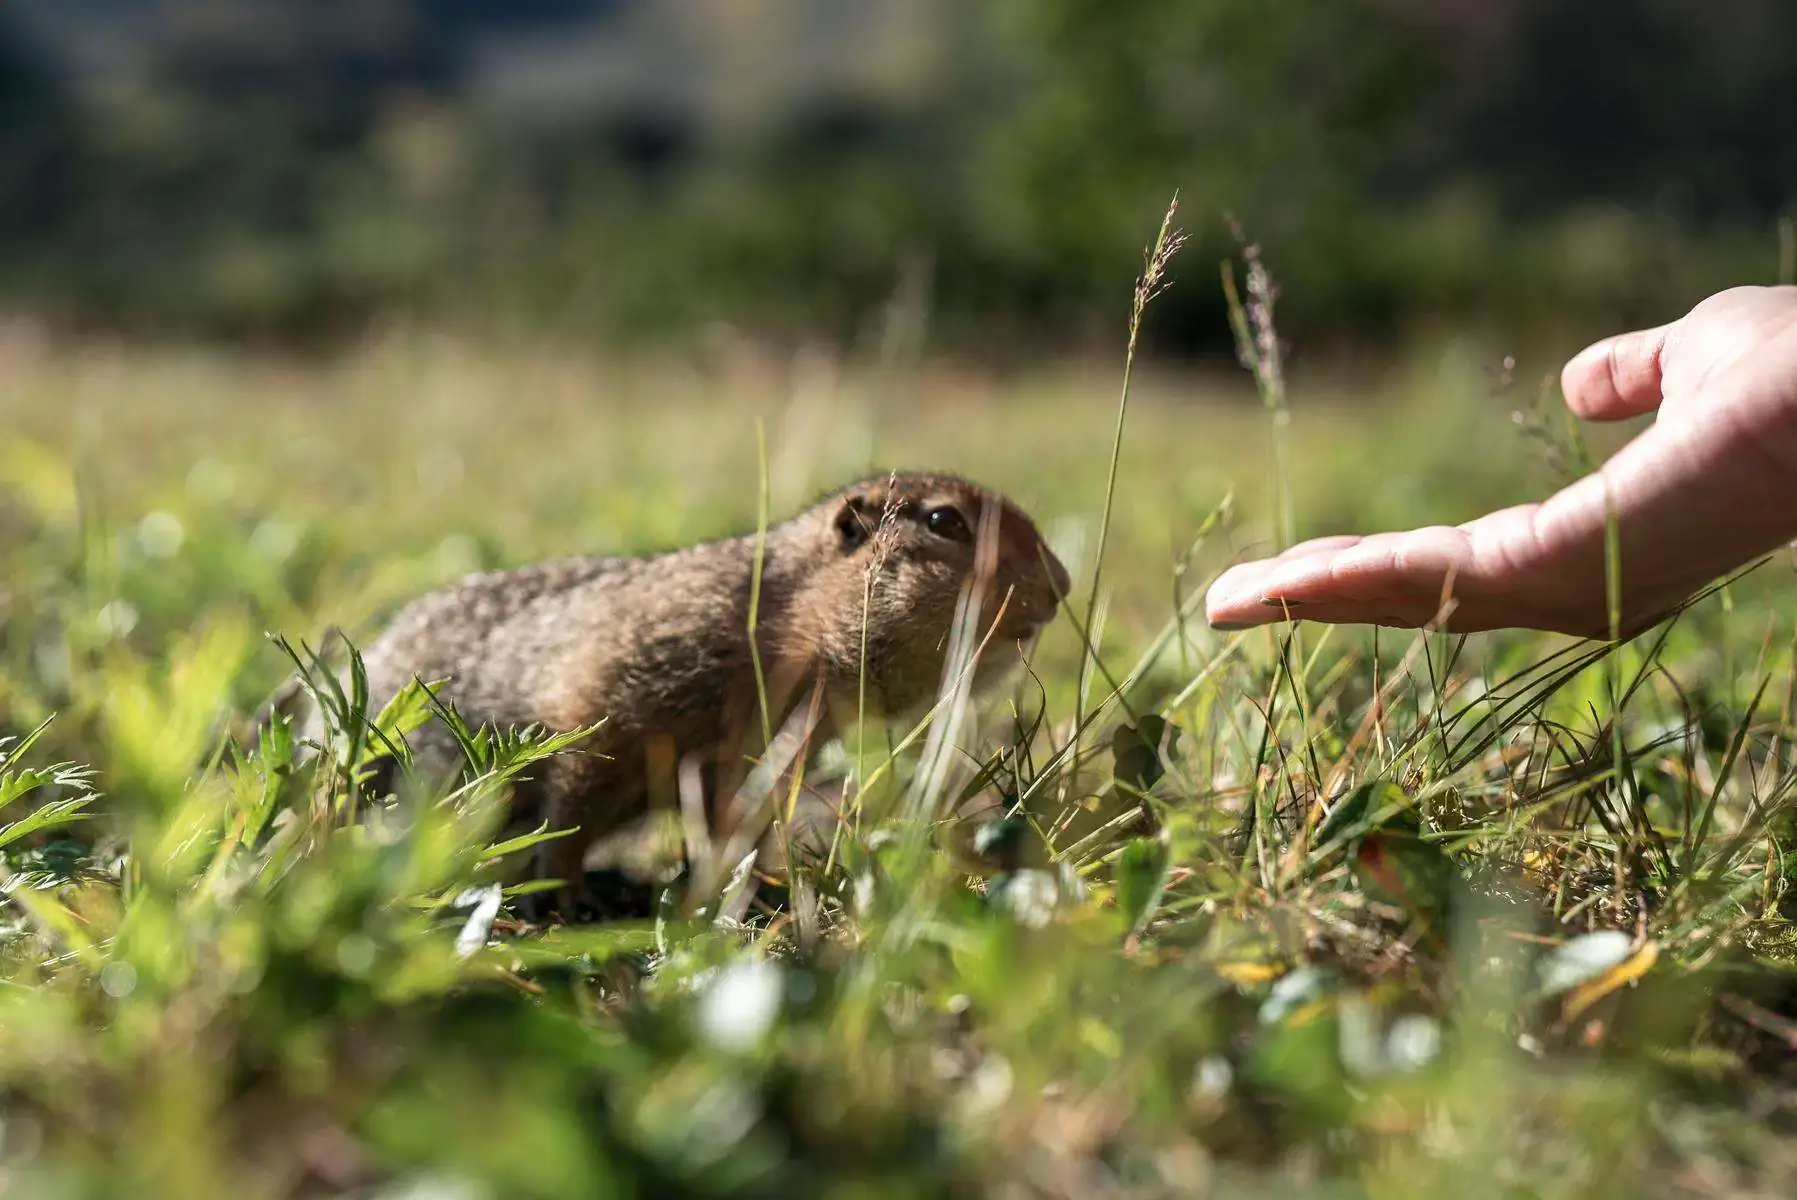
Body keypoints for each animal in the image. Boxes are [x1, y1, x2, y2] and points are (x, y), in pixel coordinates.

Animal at [337, 474, 1063, 905]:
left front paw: (757, 883)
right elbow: (574, 792)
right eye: (945, 522)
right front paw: (565, 893)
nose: (1063, 584)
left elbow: (734, 820)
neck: (783, 622)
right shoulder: (620, 692)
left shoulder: (762, 754)